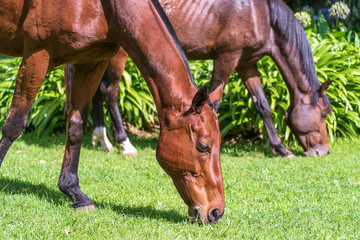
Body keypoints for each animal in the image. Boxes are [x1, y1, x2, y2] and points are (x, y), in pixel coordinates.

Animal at [0, 0, 225, 223]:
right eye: (203, 146)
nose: (216, 211)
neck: (105, 8)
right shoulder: (37, 55)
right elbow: (14, 124)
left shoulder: (91, 62)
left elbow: (76, 127)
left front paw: (74, 192)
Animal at [81, 0, 332, 158]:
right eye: (323, 114)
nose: (323, 151)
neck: (261, 15)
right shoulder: (227, 58)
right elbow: (215, 103)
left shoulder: (246, 64)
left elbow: (263, 106)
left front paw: (280, 148)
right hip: (120, 55)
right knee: (110, 92)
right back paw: (124, 143)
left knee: (96, 91)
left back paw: (102, 140)